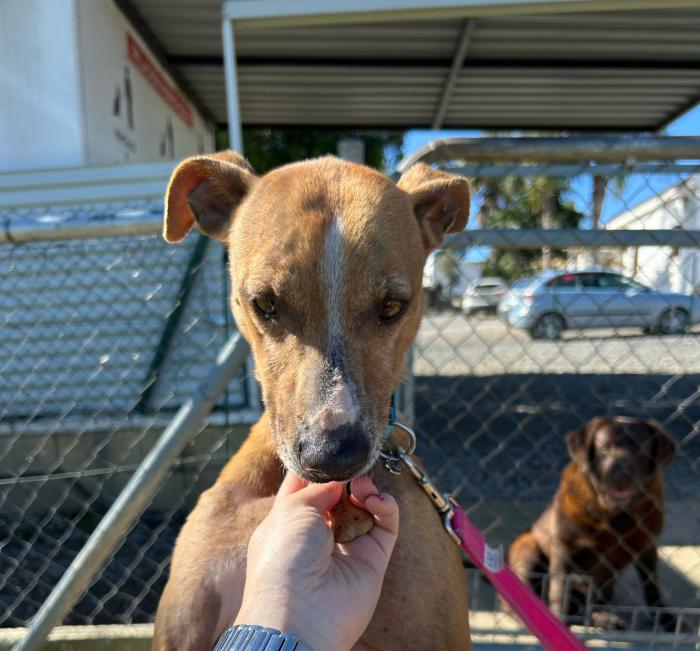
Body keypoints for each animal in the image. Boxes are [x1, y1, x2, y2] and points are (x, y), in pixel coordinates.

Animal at [508, 416, 677, 631]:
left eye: (641, 449)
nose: (621, 473)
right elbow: (559, 589)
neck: (613, 514)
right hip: (528, 546)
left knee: (588, 607)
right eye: (605, 448)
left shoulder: (647, 547)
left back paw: (604, 618)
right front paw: (559, 622)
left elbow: (651, 585)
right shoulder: (564, 548)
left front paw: (666, 619)